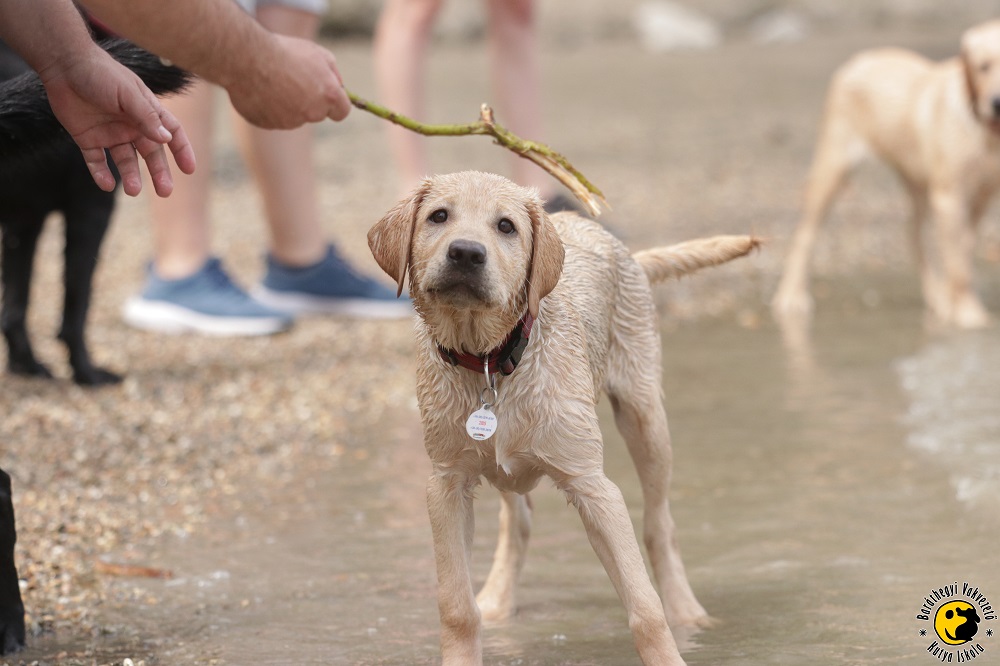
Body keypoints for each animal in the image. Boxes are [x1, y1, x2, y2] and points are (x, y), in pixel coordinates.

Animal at [368, 171, 758, 665]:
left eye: (506, 226)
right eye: (438, 216)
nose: (466, 253)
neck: (491, 361)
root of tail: (613, 243)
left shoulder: (593, 487)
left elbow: (645, 608)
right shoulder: (447, 485)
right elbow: (457, 607)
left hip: (646, 421)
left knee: (659, 525)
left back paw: (688, 612)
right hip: (501, 468)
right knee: (519, 522)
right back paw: (497, 600)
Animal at [771, 20, 1000, 329]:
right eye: (983, 66)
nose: (997, 103)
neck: (987, 138)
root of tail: (856, 60)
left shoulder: (981, 198)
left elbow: (962, 253)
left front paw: (956, 305)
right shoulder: (950, 198)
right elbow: (958, 265)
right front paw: (966, 313)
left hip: (919, 185)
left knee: (914, 236)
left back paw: (937, 298)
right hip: (832, 166)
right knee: (804, 234)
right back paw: (791, 296)